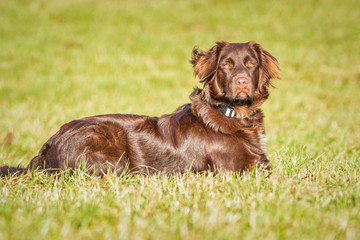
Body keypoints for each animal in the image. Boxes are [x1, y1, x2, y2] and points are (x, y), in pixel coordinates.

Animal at [0, 40, 282, 176]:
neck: (234, 114)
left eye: (251, 63)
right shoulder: (238, 169)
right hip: (111, 154)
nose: (242, 81)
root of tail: (47, 147)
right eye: (225, 65)